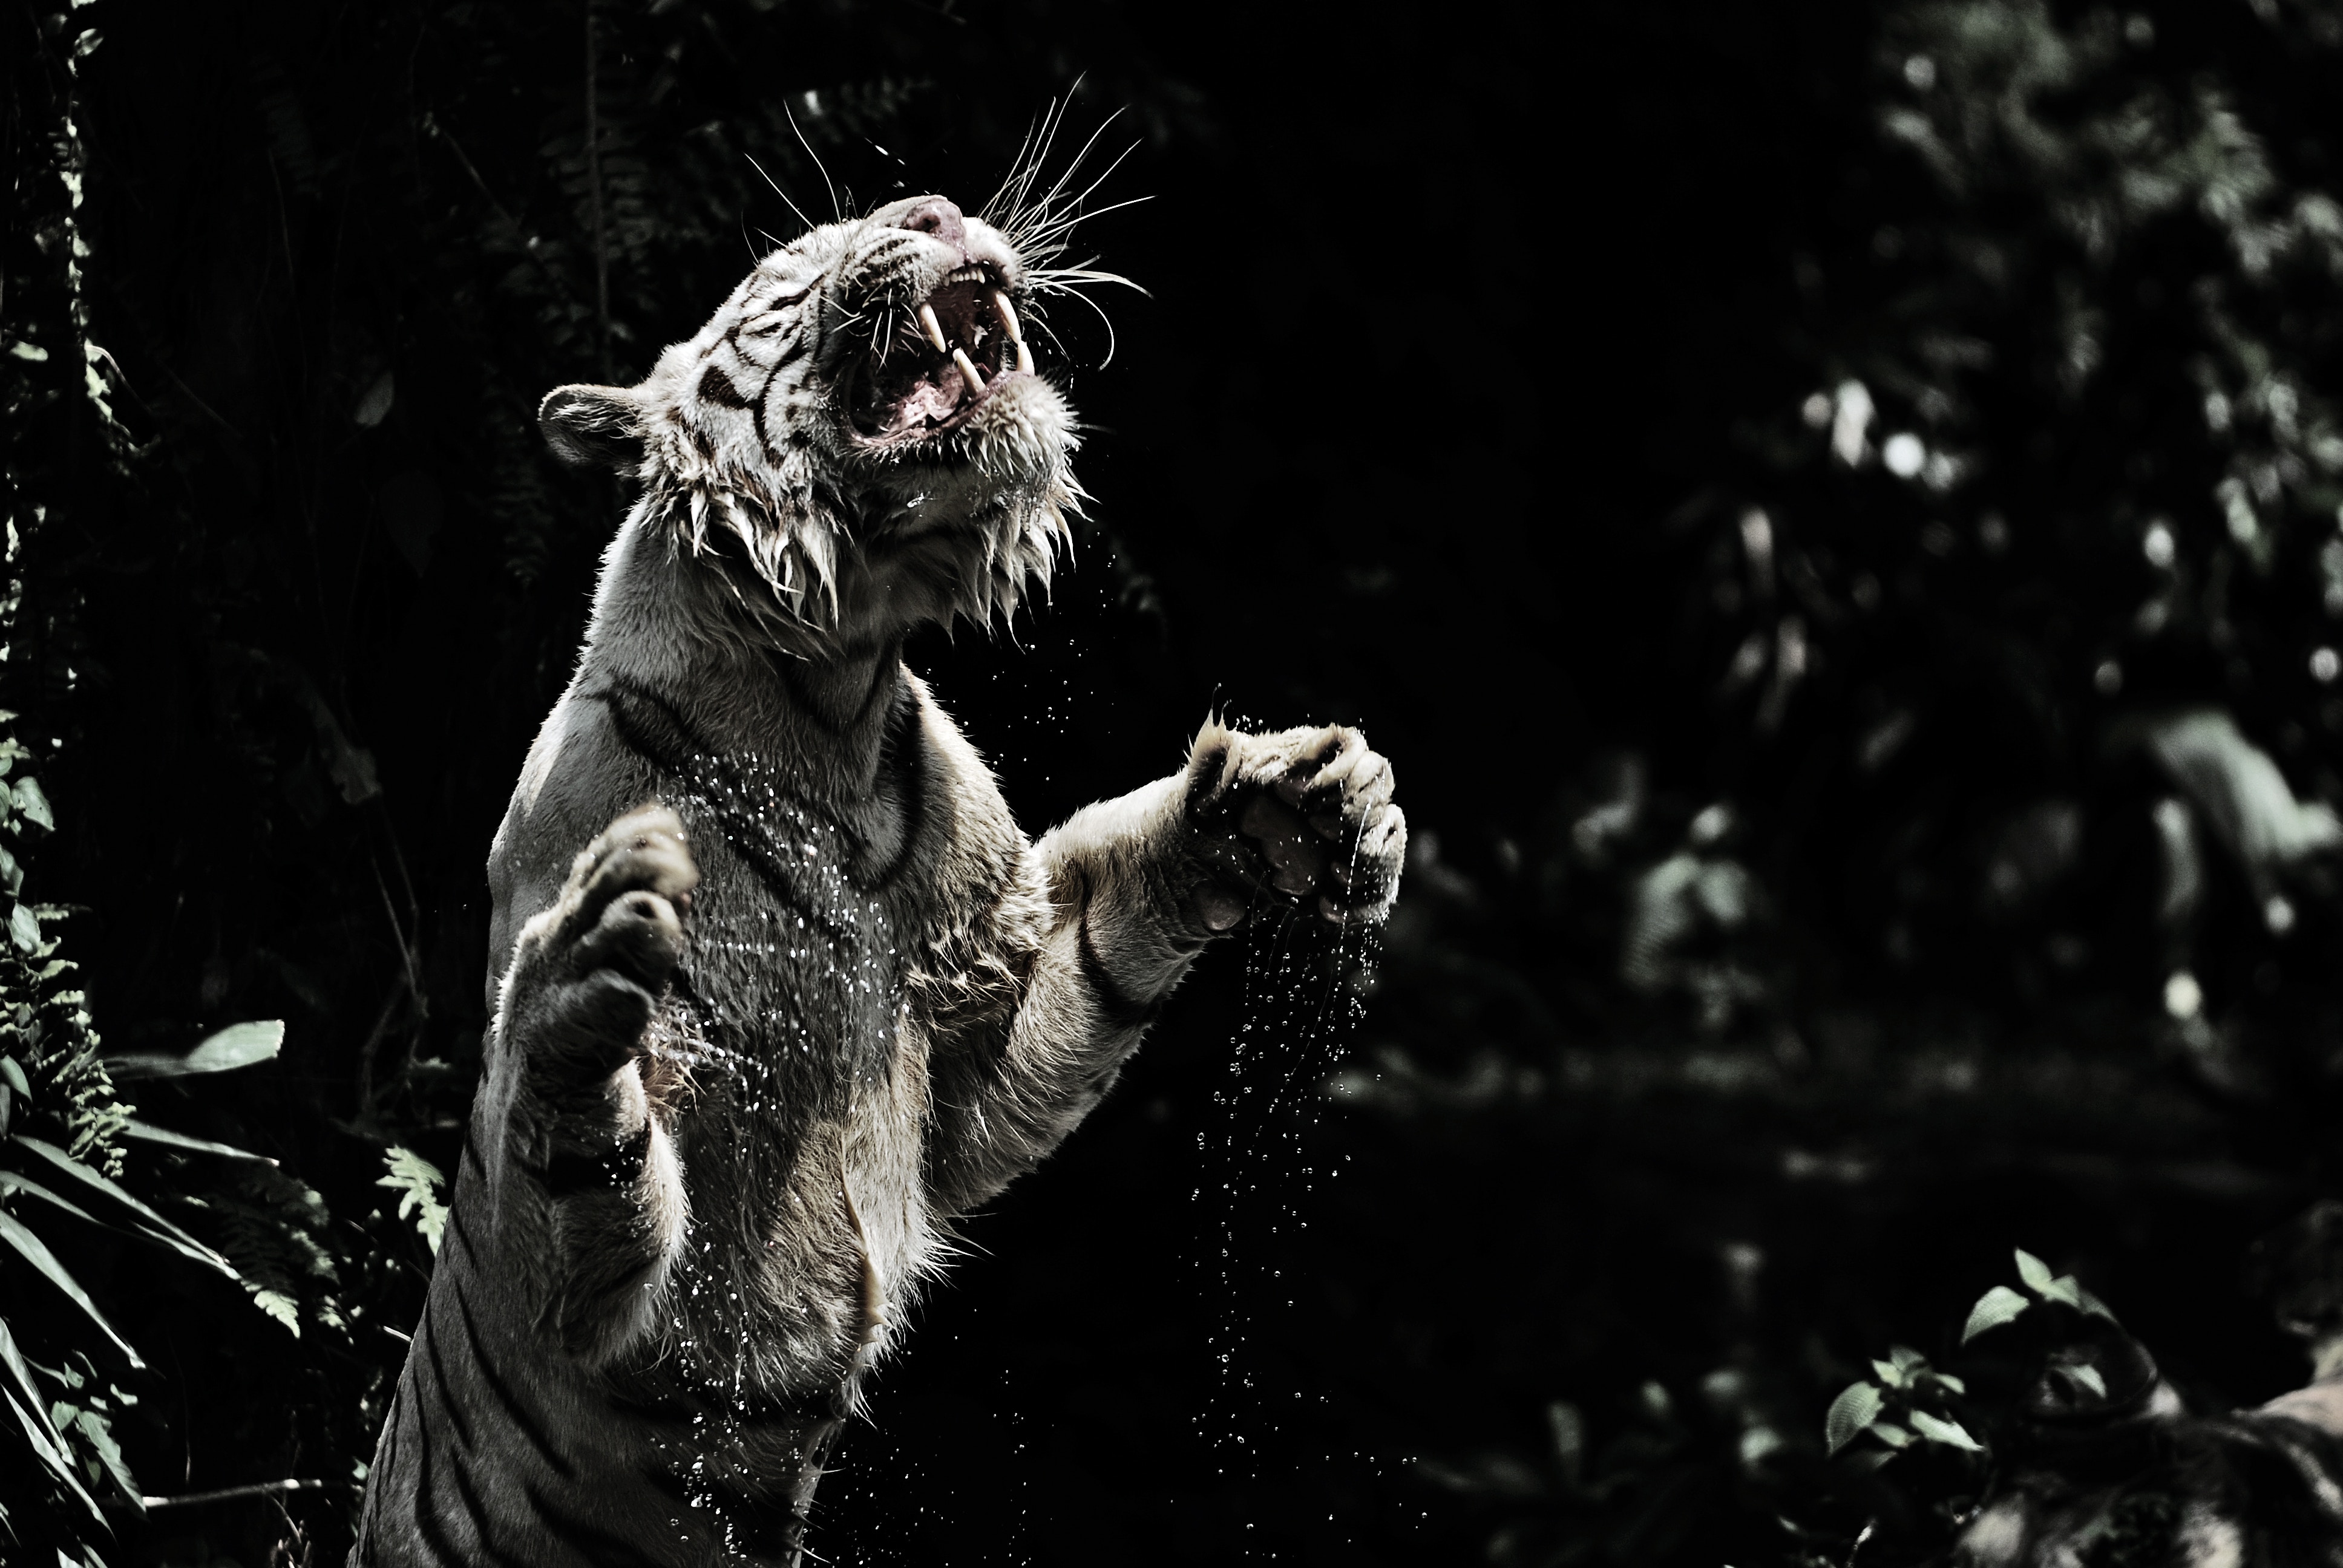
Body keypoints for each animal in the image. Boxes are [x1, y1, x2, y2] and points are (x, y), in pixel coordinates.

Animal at [348, 189, 1407, 1567]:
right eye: (787, 263)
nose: (939, 209)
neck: (830, 703)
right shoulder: (615, 1290)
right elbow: (574, 1161)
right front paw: (587, 968)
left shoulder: (977, 1024)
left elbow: (1106, 934)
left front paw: (1302, 801)